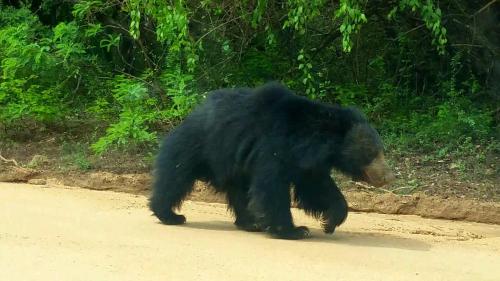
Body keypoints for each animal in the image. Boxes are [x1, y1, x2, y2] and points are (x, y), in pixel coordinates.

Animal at [148, 82, 394, 240]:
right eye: (373, 152)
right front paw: (295, 230)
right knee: (176, 177)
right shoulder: (273, 148)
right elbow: (271, 187)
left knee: (240, 191)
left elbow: (317, 188)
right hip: (198, 147)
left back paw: (250, 223)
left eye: (380, 150)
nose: (388, 176)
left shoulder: (307, 163)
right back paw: (170, 215)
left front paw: (330, 222)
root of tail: (190, 115)